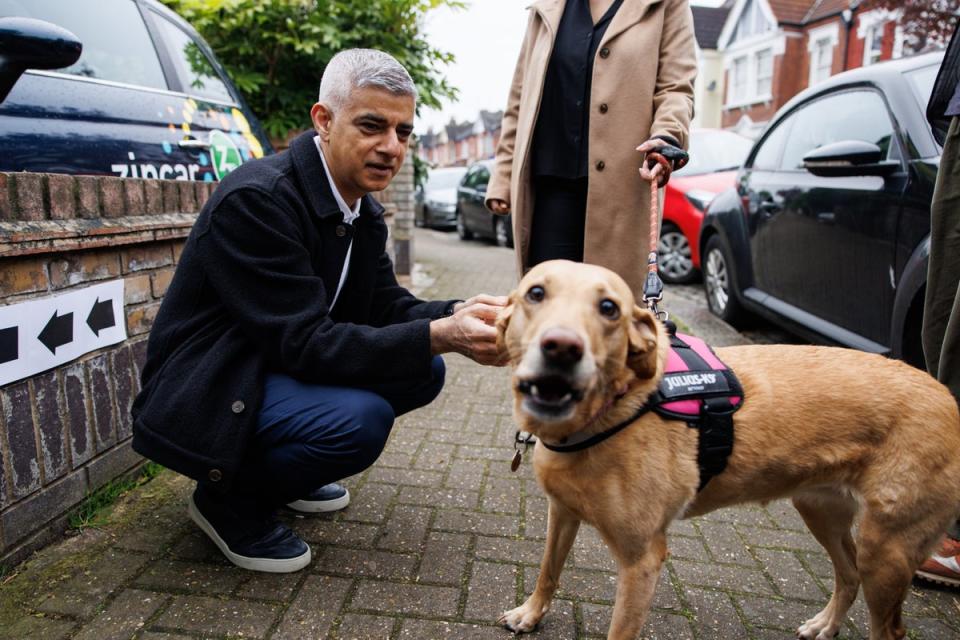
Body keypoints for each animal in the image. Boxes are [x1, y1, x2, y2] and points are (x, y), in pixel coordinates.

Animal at [496, 260, 960, 640]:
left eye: (609, 307)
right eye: (535, 293)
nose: (562, 347)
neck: (610, 412)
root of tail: (947, 396)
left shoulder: (641, 561)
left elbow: (618, 630)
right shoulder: (562, 512)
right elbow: (548, 571)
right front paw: (531, 614)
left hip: (887, 551)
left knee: (890, 628)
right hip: (822, 512)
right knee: (848, 575)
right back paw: (825, 624)